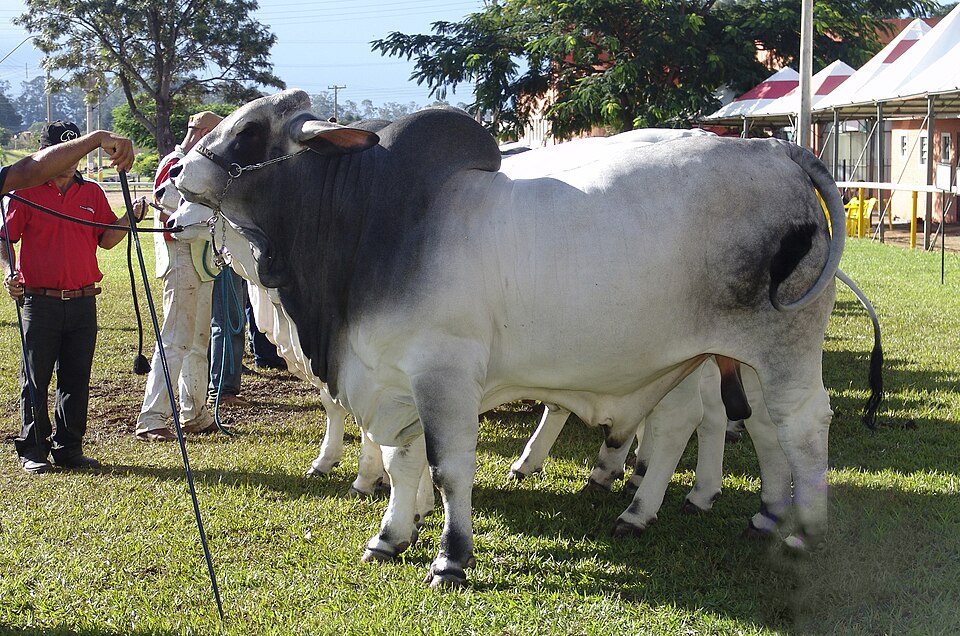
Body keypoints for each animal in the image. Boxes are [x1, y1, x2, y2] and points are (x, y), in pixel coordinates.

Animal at [171, 89, 847, 587]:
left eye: (249, 130)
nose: (175, 174)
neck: (370, 224)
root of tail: (779, 152)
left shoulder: (444, 375)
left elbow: (447, 469)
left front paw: (451, 558)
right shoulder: (390, 380)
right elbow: (399, 460)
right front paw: (390, 536)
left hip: (781, 346)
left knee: (801, 421)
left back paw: (804, 531)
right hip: (715, 356)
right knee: (742, 424)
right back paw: (720, 511)